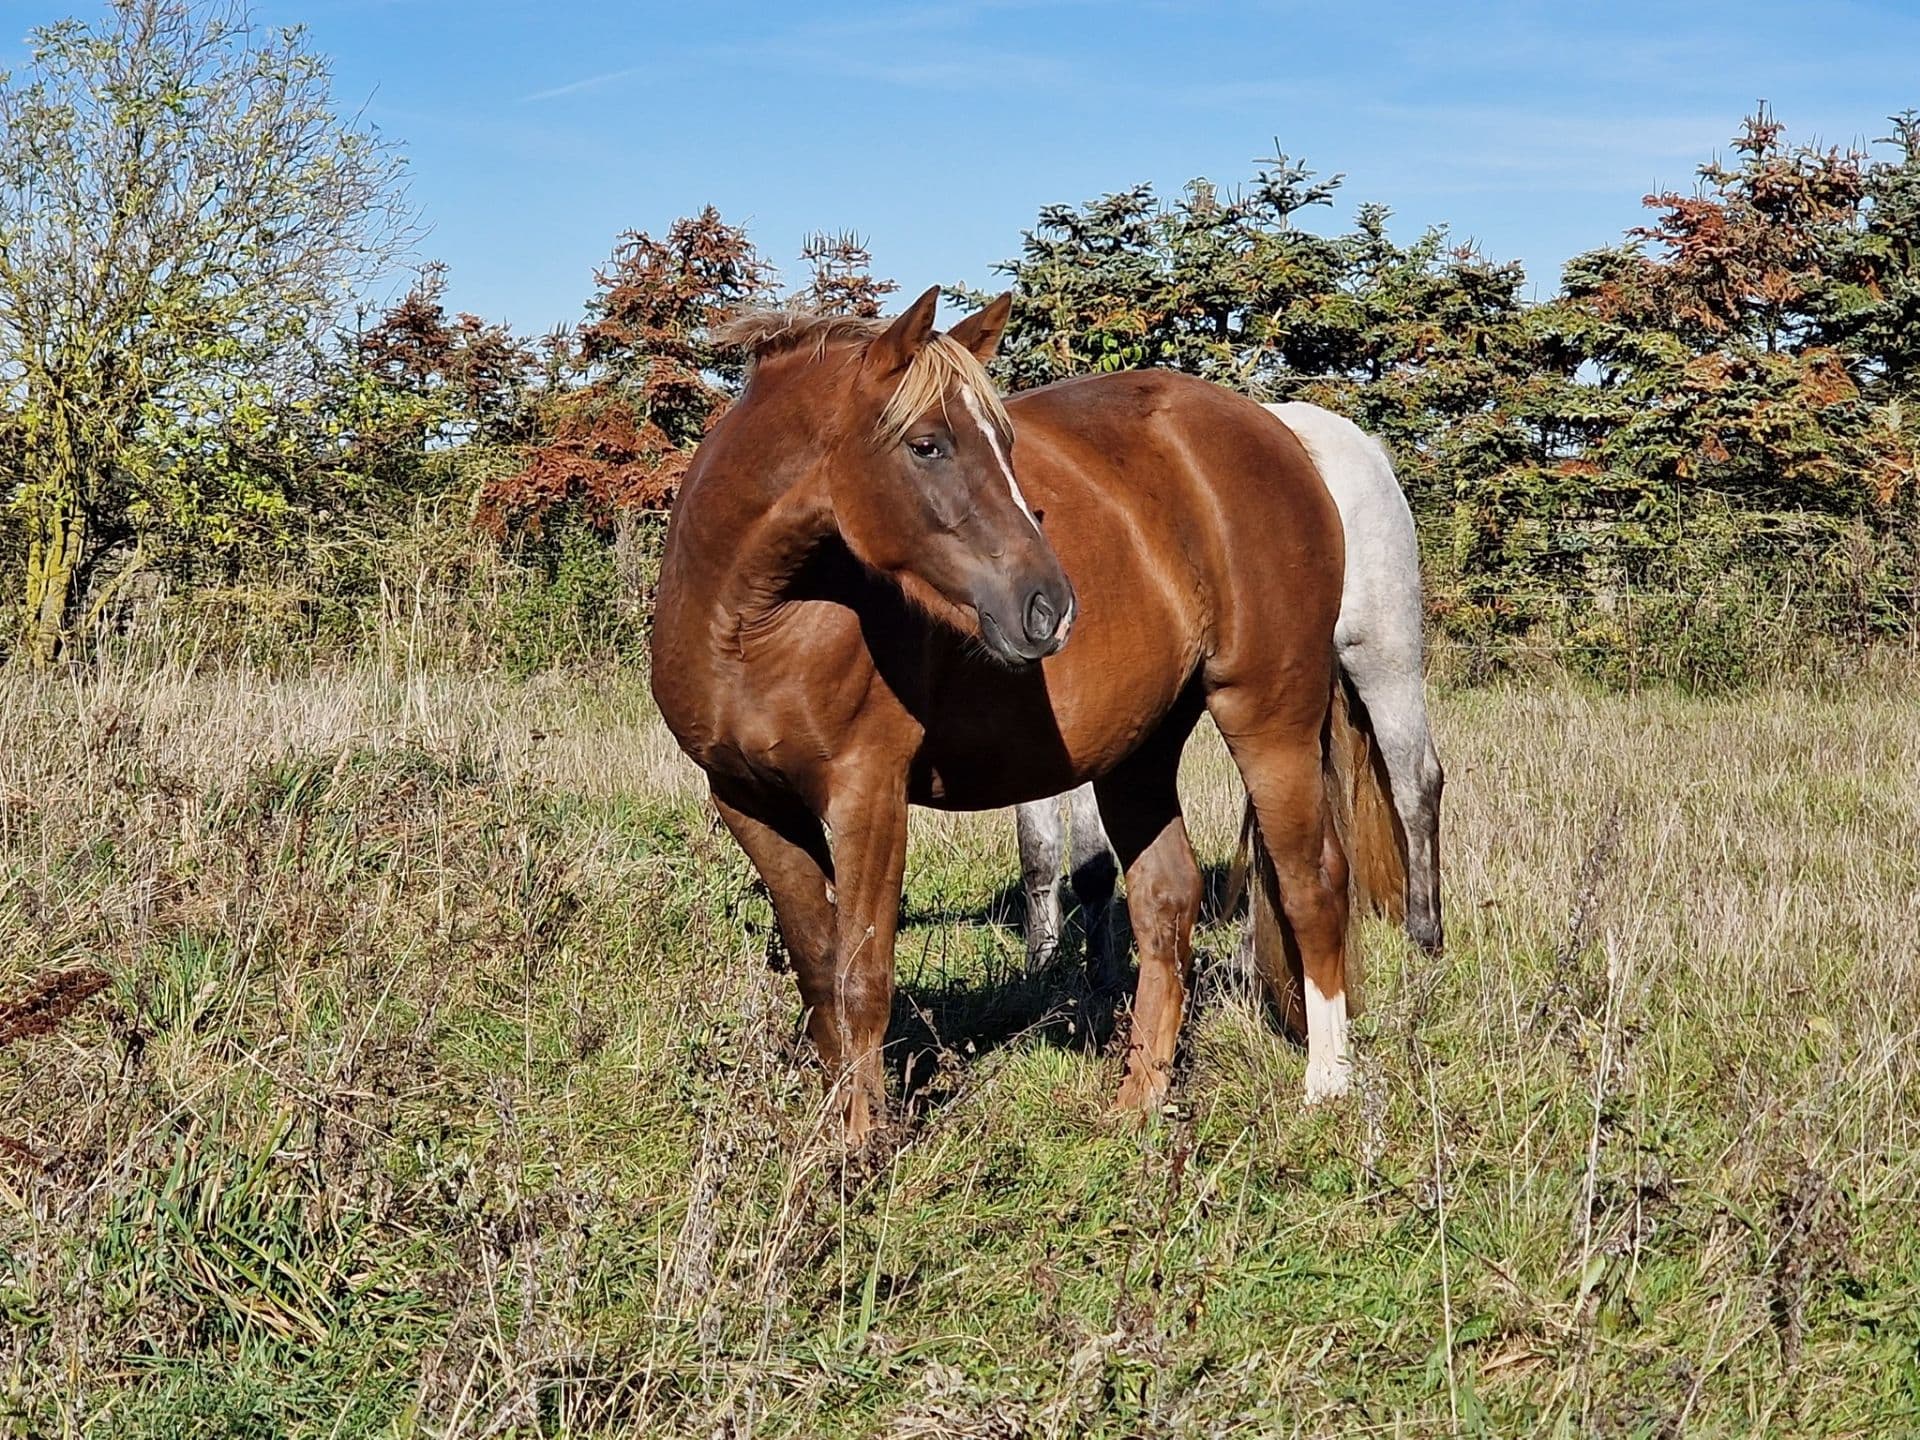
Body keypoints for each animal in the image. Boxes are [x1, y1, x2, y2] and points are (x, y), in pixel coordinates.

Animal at [649, 286, 1398, 1145]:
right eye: (928, 445)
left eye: (1006, 443)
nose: (1049, 607)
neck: (753, 622)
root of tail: (1283, 437)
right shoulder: (750, 803)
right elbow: (816, 973)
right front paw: (834, 1134)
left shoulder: (868, 796)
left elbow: (861, 976)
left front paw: (863, 1150)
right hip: (1140, 751)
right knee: (1165, 901)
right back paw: (1136, 1105)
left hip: (1270, 713)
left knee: (1314, 884)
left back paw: (1326, 1087)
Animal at [1016, 402, 1446, 977]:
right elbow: (1039, 852)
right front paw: (1044, 964)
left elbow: (1091, 862)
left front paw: (1099, 970)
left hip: (1381, 654)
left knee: (1415, 782)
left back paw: (1424, 934)